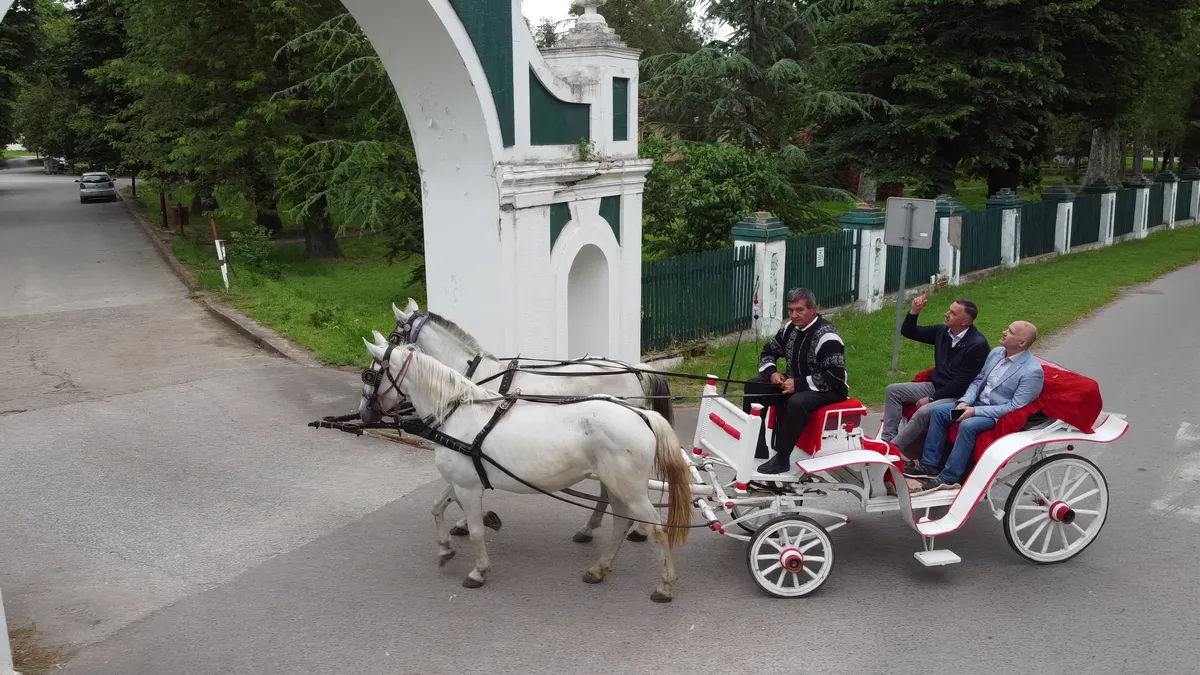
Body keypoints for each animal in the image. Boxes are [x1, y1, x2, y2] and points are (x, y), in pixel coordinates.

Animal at [358, 340, 692, 602]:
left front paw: (478, 571)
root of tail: (640, 414)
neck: (457, 412)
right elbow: (437, 507)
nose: (364, 413)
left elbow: (476, 532)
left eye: (371, 374)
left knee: (658, 529)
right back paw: (599, 568)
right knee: (620, 522)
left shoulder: (467, 487)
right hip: (618, 484)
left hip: (630, 489)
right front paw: (444, 548)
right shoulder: (463, 480)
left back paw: (664, 585)